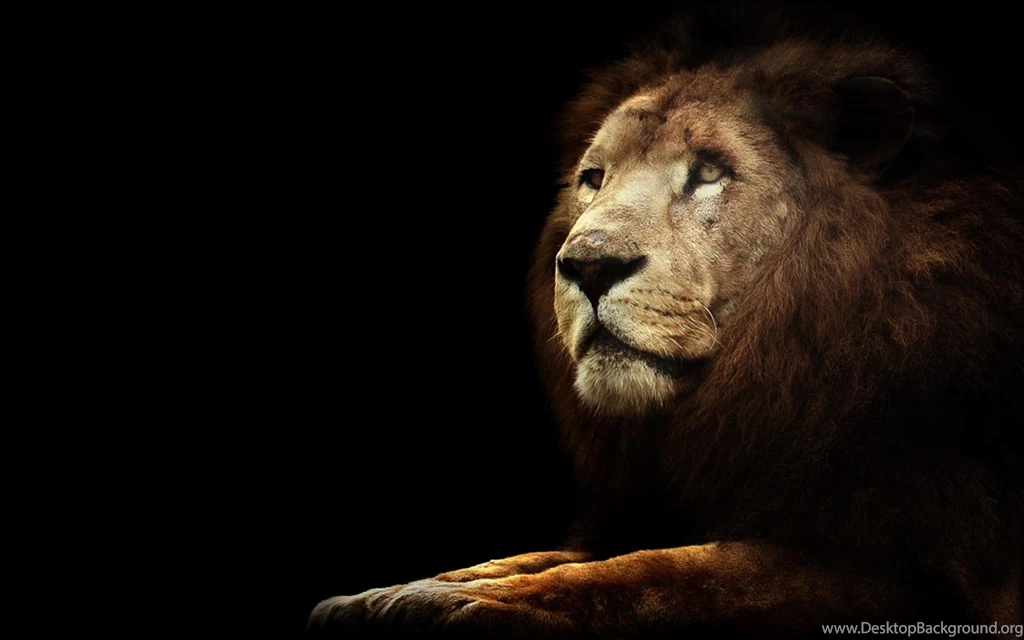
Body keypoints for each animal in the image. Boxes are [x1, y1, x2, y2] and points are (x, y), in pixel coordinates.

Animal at [308, 12, 1024, 638]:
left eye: (709, 172)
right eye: (594, 178)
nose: (587, 265)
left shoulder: (918, 570)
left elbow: (658, 574)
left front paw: (455, 605)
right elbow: (546, 558)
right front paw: (393, 592)